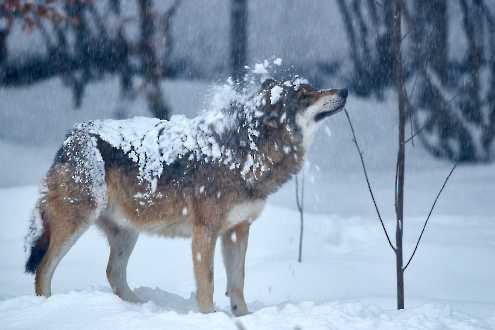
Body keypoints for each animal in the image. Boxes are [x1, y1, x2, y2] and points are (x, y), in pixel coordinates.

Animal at [24, 78, 348, 316]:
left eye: (312, 87)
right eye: (305, 95)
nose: (344, 90)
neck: (245, 154)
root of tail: (71, 137)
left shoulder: (238, 230)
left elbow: (238, 282)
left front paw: (244, 317)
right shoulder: (205, 231)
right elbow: (208, 284)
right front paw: (210, 318)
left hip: (127, 234)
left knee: (113, 274)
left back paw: (138, 308)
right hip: (76, 224)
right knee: (43, 270)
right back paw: (46, 309)